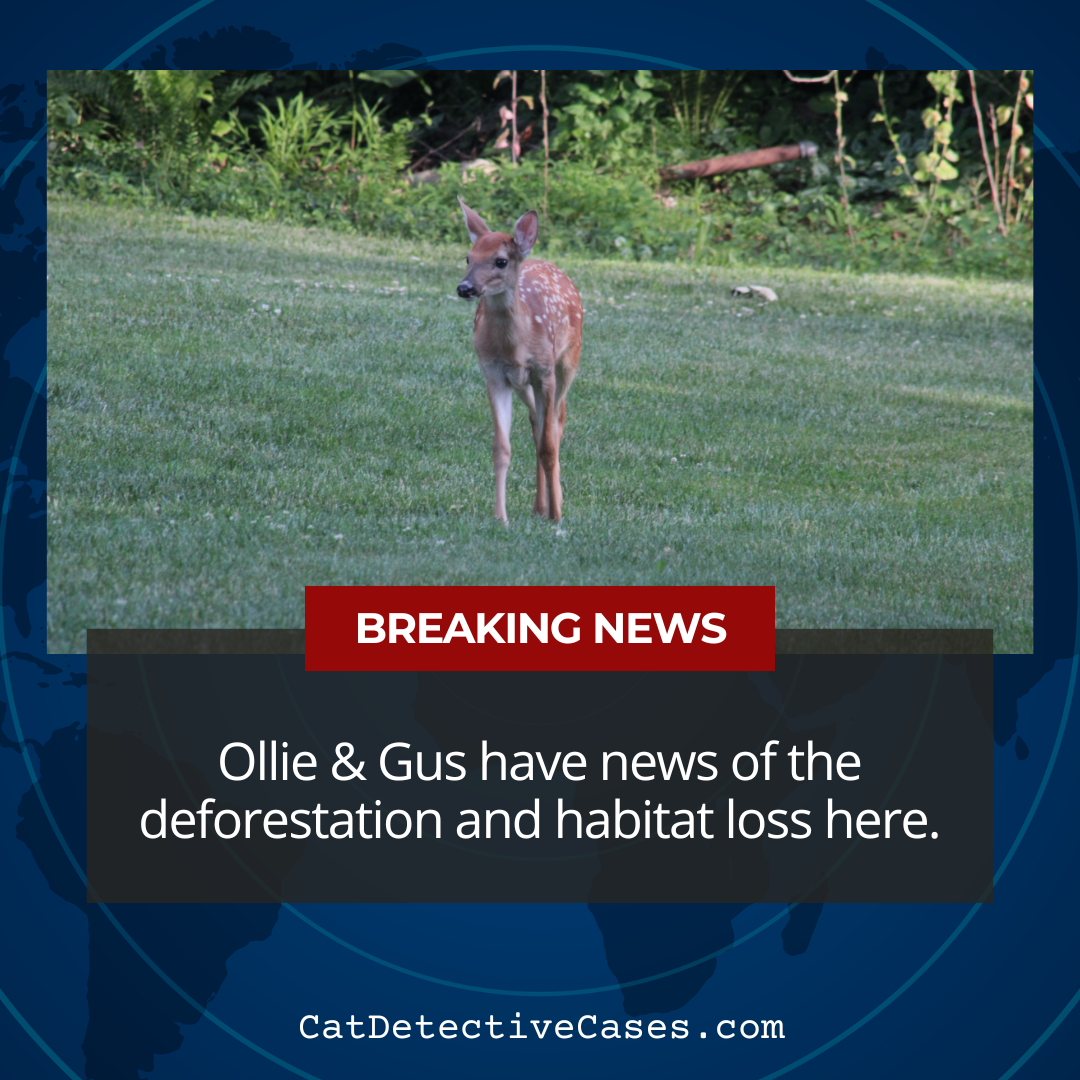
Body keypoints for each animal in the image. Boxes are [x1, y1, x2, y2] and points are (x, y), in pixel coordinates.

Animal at [456, 197, 583, 523]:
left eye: (500, 260)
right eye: (468, 258)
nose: (465, 288)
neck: (515, 346)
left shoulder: (544, 371)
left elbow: (549, 446)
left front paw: (557, 516)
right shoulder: (494, 375)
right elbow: (501, 449)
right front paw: (501, 517)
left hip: (568, 360)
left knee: (556, 421)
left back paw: (554, 504)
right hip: (523, 383)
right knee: (537, 422)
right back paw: (539, 506)